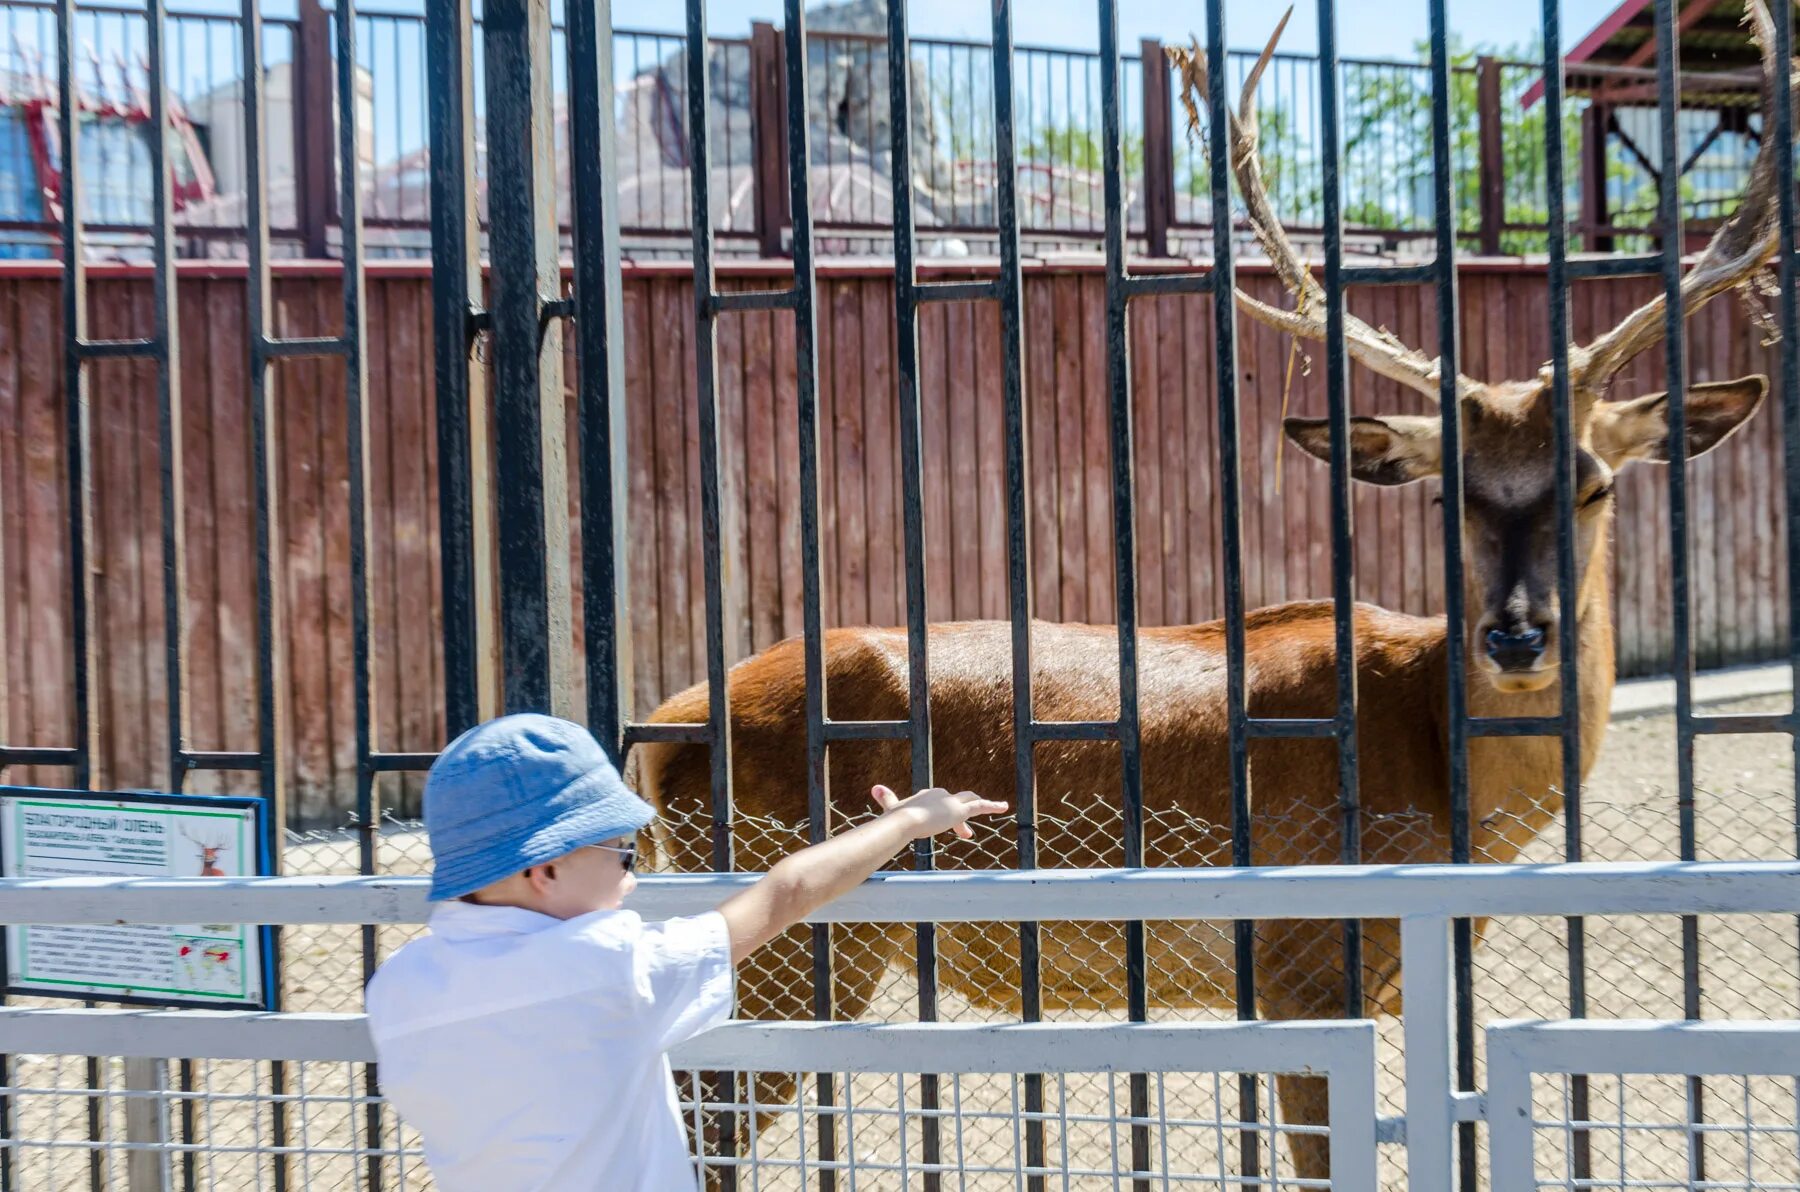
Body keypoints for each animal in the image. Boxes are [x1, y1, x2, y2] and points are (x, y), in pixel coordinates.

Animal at [630, 2, 1785, 1173]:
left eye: (1596, 482)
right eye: (1448, 493)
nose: (1516, 635)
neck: (1449, 795)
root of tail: (663, 725)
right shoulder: (1302, 962)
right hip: (792, 935)